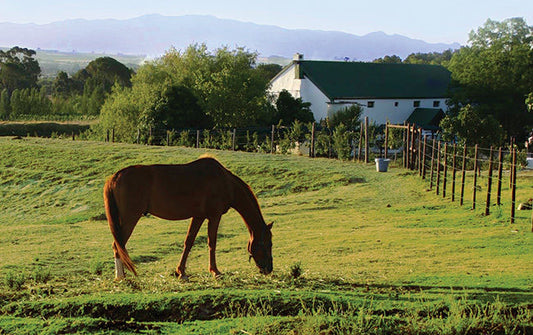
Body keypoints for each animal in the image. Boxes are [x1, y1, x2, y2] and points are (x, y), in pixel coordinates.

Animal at [103, 158, 274, 280]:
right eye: (267, 244)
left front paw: (181, 272)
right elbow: (212, 242)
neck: (225, 182)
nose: (269, 269)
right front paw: (215, 271)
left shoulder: (198, 216)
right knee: (117, 245)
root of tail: (114, 177)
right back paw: (120, 277)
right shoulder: (214, 216)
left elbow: (189, 241)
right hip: (130, 218)